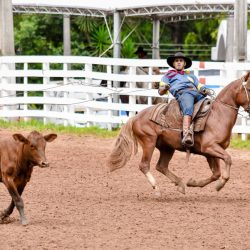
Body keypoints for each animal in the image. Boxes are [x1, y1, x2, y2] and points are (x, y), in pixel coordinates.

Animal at [106, 71, 250, 196]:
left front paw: (193, 183)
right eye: (248, 88)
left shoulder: (211, 152)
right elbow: (228, 159)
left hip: (167, 148)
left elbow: (216, 173)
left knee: (161, 166)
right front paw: (220, 184)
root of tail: (136, 117)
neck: (218, 115)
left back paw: (180, 184)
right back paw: (157, 188)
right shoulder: (210, 147)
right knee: (144, 165)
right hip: (149, 142)